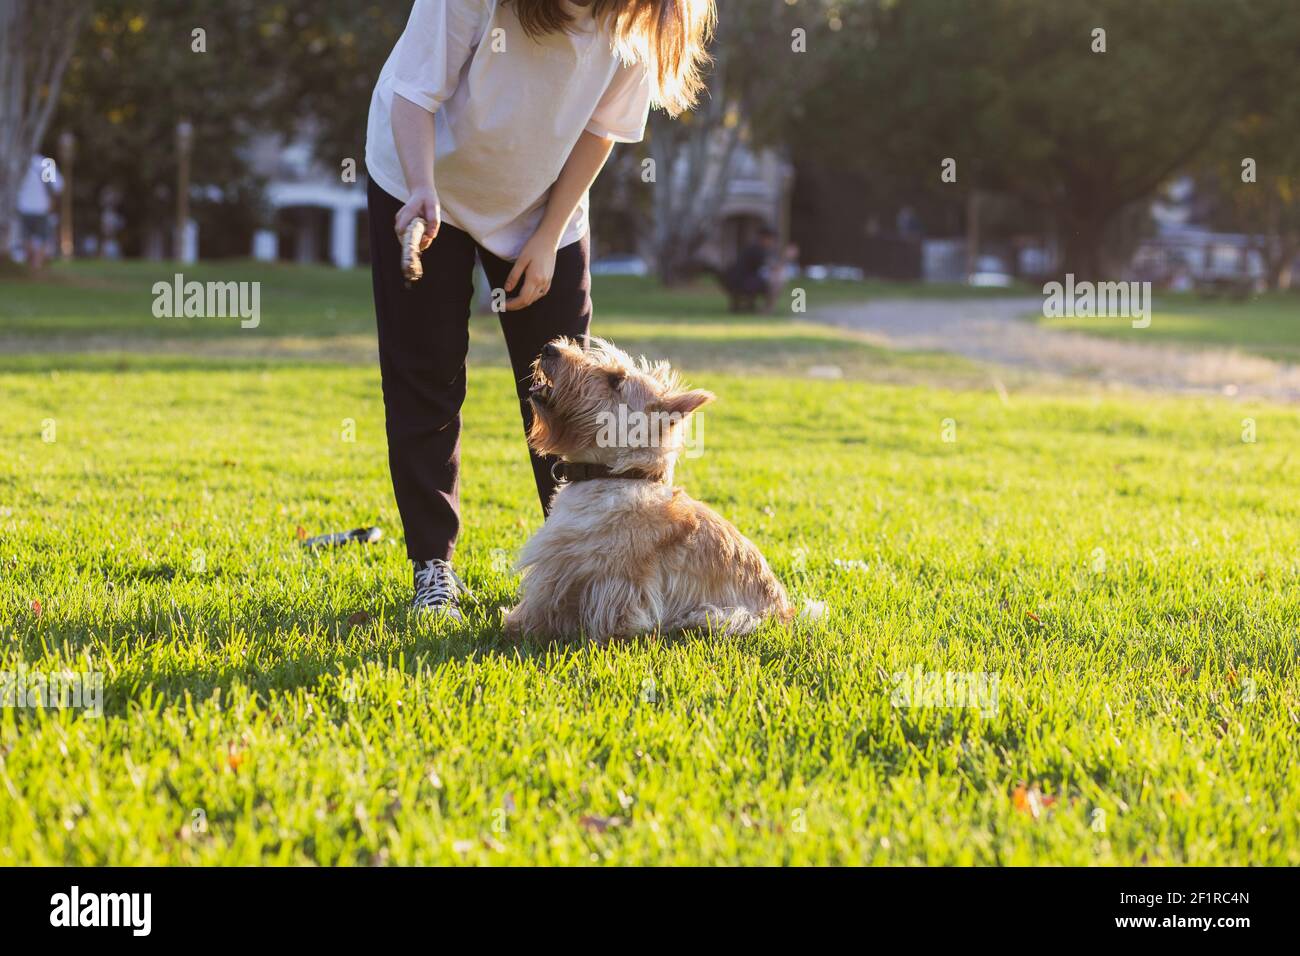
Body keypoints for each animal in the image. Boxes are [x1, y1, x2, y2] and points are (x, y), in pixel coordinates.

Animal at [501, 335, 790, 642]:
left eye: (615, 380)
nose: (550, 349)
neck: (618, 475)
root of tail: (786, 615)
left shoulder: (599, 577)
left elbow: (555, 605)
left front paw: (519, 624)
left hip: (724, 614)